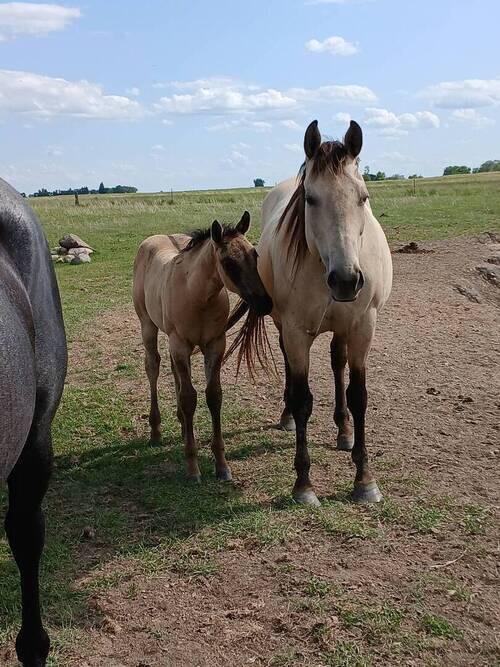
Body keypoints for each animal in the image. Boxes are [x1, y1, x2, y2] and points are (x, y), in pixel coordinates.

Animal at [133, 211, 272, 482]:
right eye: (228, 263)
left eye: (256, 255)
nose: (265, 304)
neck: (197, 296)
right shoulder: (180, 344)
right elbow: (189, 397)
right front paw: (192, 468)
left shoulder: (215, 344)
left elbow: (213, 395)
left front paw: (222, 466)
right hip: (148, 325)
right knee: (153, 367)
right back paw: (155, 430)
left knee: (173, 370)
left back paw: (180, 424)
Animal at [229, 120, 392, 506]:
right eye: (310, 199)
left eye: (363, 197)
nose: (346, 280)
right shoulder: (296, 331)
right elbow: (303, 398)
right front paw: (303, 484)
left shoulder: (363, 327)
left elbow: (358, 395)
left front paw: (365, 479)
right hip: (284, 328)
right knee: (291, 370)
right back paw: (288, 416)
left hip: (343, 328)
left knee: (337, 363)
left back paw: (344, 431)